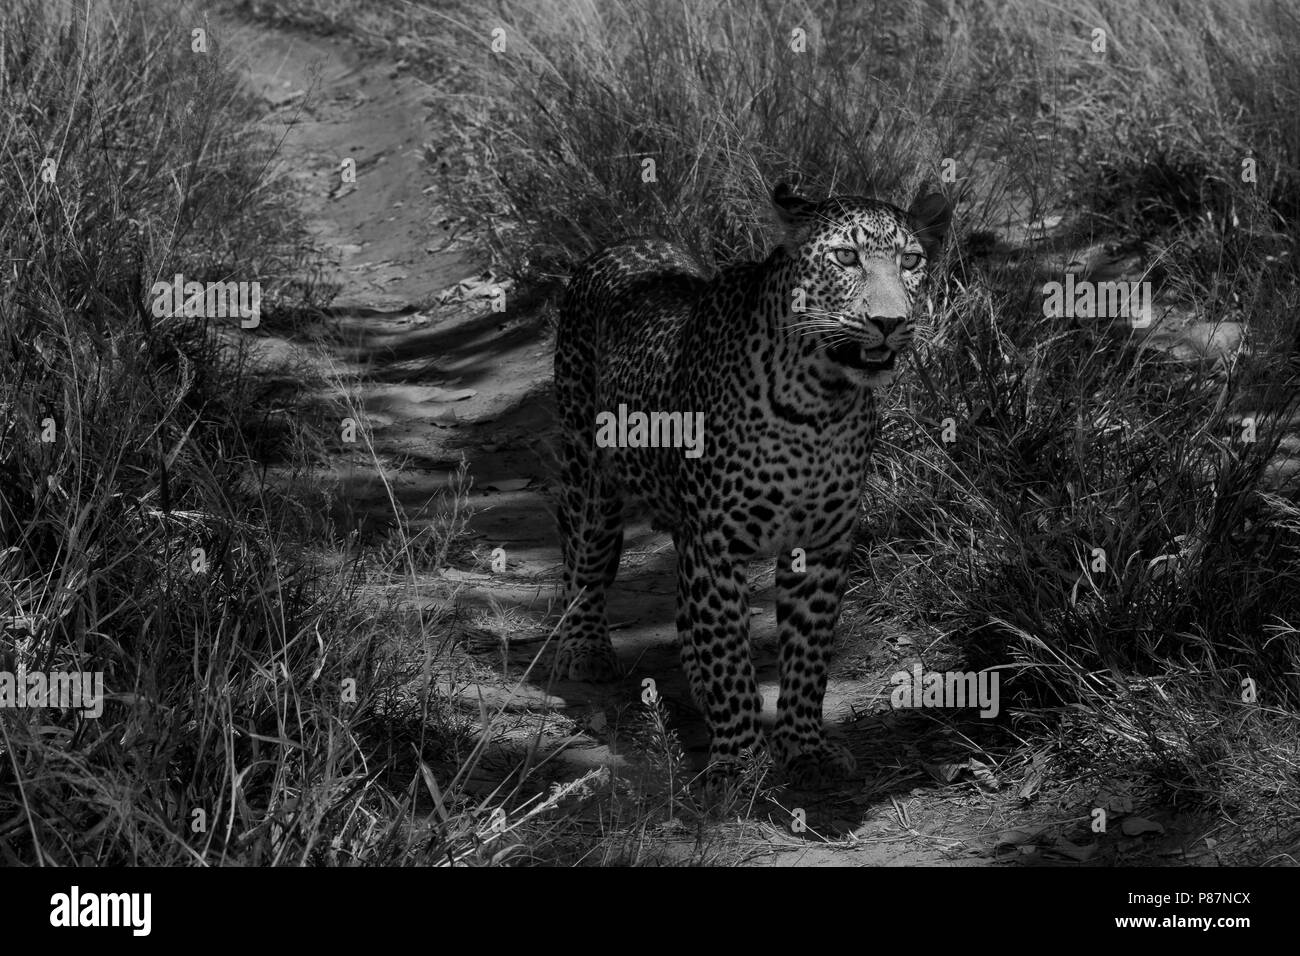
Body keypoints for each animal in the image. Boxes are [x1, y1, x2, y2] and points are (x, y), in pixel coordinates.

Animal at [551, 180, 956, 785]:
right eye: (846, 257)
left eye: (910, 262)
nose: (889, 321)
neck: (817, 403)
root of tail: (622, 242)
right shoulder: (716, 543)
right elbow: (727, 653)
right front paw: (739, 760)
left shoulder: (823, 545)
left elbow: (808, 654)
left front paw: (805, 747)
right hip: (590, 477)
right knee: (585, 566)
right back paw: (586, 650)